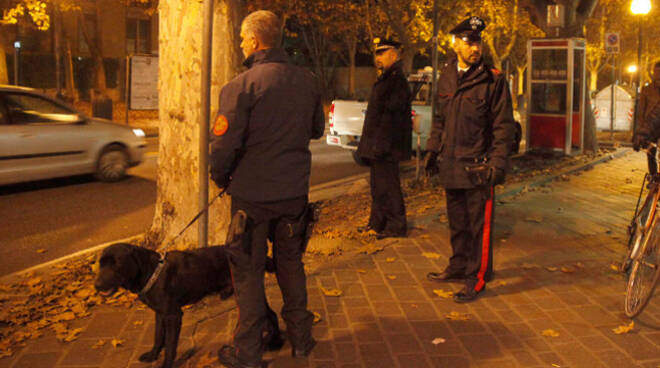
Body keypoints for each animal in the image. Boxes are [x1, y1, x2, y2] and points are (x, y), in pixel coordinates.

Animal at [93, 243, 284, 366]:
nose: (97, 285)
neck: (152, 272)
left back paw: (275, 343)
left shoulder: (173, 315)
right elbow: (158, 337)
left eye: (116, 263)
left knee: (271, 315)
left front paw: (166, 365)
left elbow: (170, 345)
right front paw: (152, 355)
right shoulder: (160, 314)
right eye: (100, 264)